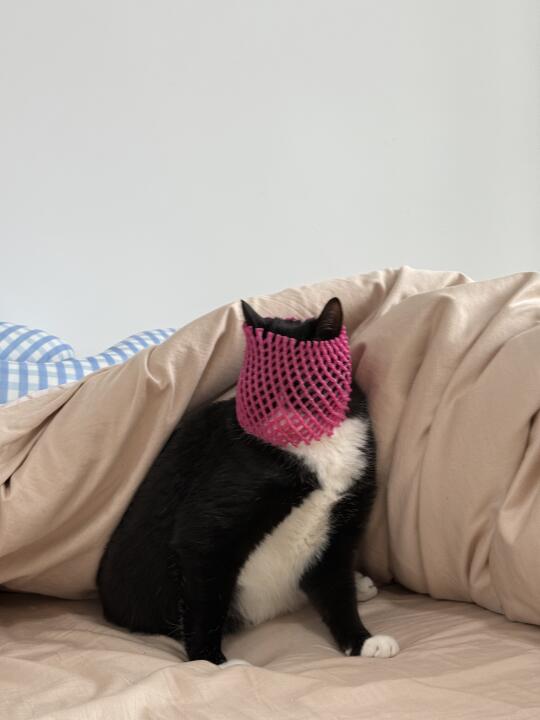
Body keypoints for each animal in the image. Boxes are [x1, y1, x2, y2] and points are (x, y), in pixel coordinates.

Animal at [97, 297, 399, 666]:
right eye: (260, 386)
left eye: (305, 382)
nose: (281, 416)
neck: (309, 450)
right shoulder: (208, 529)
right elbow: (205, 595)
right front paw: (210, 662)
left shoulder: (341, 523)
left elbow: (336, 586)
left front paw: (360, 640)